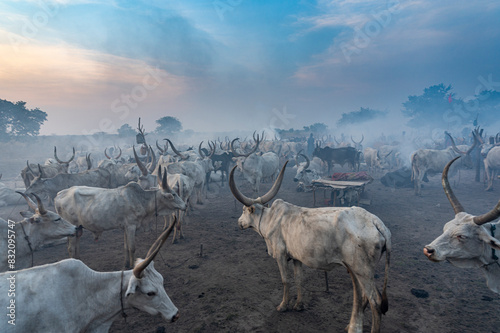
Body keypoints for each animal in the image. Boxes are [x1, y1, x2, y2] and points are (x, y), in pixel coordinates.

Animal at [229, 161, 390, 332]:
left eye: (244, 210)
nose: (239, 223)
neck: (270, 219)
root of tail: (375, 222)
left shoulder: (280, 255)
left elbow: (285, 280)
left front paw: (283, 306)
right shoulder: (296, 258)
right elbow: (299, 279)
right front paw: (299, 305)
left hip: (362, 271)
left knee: (375, 302)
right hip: (359, 271)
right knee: (364, 297)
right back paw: (351, 325)